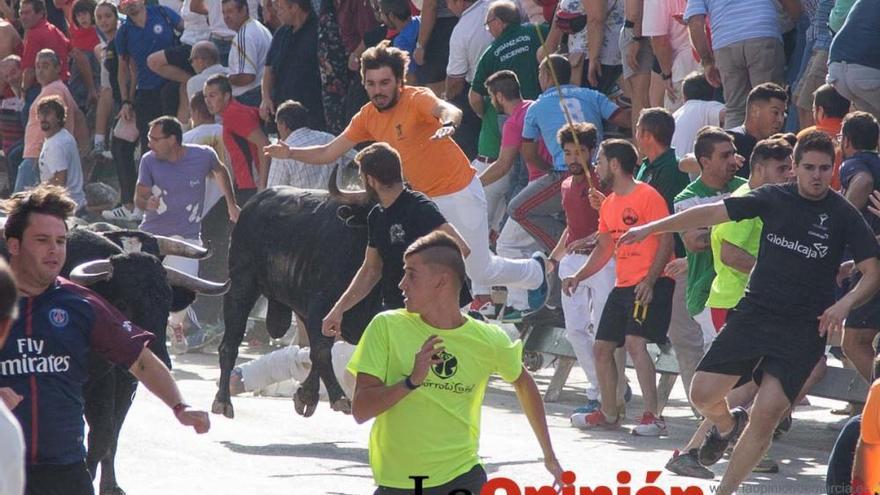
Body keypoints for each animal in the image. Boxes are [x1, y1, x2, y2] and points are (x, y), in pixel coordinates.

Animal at [215, 186, 384, 418]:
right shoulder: (321, 309)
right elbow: (321, 351)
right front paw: (339, 398)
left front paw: (306, 396)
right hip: (240, 287)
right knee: (229, 345)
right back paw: (223, 401)